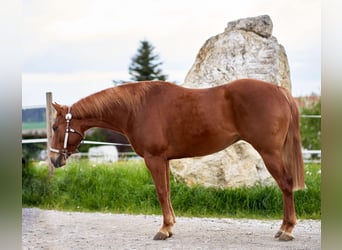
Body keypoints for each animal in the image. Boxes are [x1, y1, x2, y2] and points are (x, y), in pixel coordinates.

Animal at [49, 79, 304, 241]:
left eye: (54, 127)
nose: (53, 160)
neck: (136, 109)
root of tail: (279, 91)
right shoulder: (164, 160)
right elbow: (168, 193)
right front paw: (170, 227)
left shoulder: (154, 159)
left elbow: (161, 193)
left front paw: (163, 230)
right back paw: (283, 228)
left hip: (269, 153)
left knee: (286, 184)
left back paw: (288, 230)